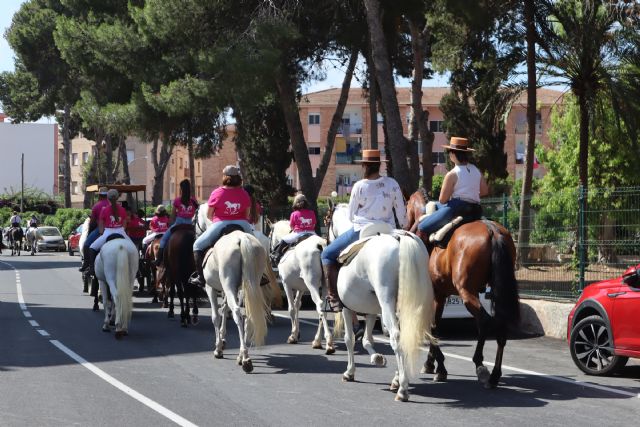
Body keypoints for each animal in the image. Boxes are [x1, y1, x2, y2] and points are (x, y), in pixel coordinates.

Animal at [196, 202, 274, 372]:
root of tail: (241, 238)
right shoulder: (230, 290)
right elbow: (225, 309)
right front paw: (223, 339)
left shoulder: (211, 288)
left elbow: (216, 316)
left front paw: (218, 347)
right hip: (249, 286)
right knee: (247, 315)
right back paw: (241, 355)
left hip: (230, 285)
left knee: (238, 313)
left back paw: (245, 359)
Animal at [268, 221, 336, 354]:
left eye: (269, 235)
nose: (272, 255)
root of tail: (321, 245)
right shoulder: (301, 288)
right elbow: (297, 305)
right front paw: (296, 332)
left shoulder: (286, 284)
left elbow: (291, 308)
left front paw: (293, 335)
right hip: (325, 285)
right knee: (323, 310)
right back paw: (317, 341)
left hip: (312, 283)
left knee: (319, 305)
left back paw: (329, 343)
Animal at [404, 189, 520, 390]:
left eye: (406, 208)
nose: (404, 225)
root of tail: (493, 231)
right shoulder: (440, 295)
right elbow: (434, 325)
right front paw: (431, 364)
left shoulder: (435, 295)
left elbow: (433, 327)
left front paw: (439, 367)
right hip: (496, 291)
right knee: (500, 324)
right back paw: (495, 374)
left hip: (466, 292)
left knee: (484, 321)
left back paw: (480, 365)